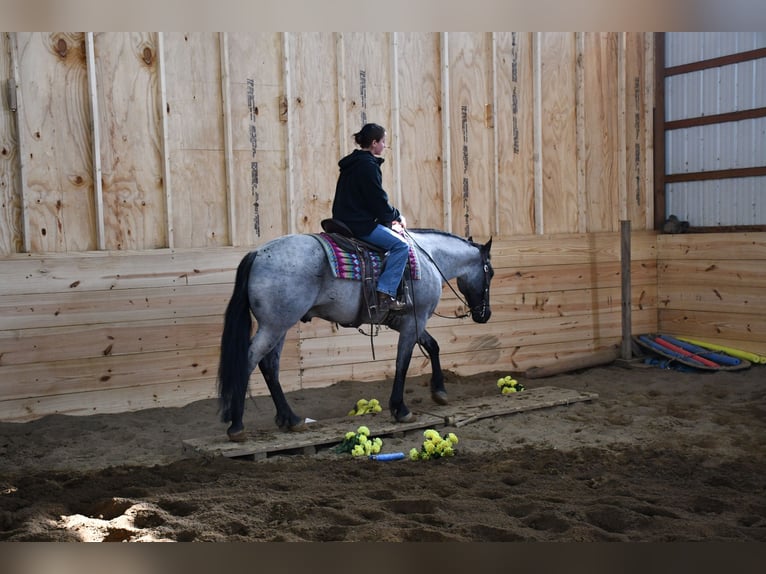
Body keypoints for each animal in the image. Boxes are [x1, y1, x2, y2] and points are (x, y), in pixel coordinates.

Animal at [217, 227, 494, 442]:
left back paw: (290, 418)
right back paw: (237, 426)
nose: (485, 315)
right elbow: (402, 363)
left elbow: (433, 346)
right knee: (249, 361)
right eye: (489, 272)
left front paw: (439, 392)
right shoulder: (415, 320)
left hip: (279, 325)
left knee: (269, 365)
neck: (428, 259)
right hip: (274, 325)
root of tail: (257, 253)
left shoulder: (408, 321)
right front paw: (400, 408)